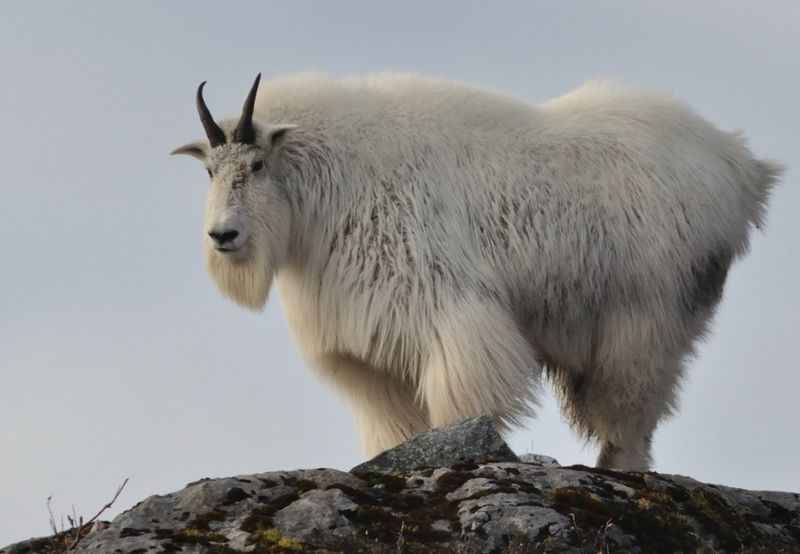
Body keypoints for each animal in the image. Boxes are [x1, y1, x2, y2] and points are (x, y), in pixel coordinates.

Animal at [172, 71, 780, 468]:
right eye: (208, 171)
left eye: (256, 164)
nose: (223, 236)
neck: (330, 180)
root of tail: (742, 167)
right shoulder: (366, 348)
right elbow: (393, 425)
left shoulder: (447, 309)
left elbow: (461, 400)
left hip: (648, 314)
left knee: (633, 406)